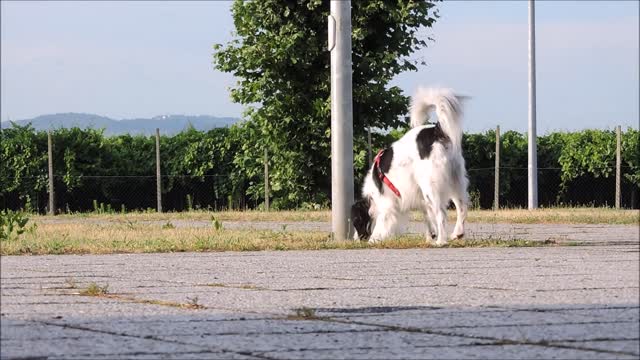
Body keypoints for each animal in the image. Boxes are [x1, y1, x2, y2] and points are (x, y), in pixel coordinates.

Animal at [350, 86, 470, 245]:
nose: (355, 240)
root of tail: (436, 130)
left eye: (356, 222)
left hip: (430, 186)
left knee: (442, 214)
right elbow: (428, 218)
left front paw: (373, 241)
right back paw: (457, 233)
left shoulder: (387, 204)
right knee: (462, 207)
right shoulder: (421, 200)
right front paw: (430, 236)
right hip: (455, 180)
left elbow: (380, 225)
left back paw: (441, 241)